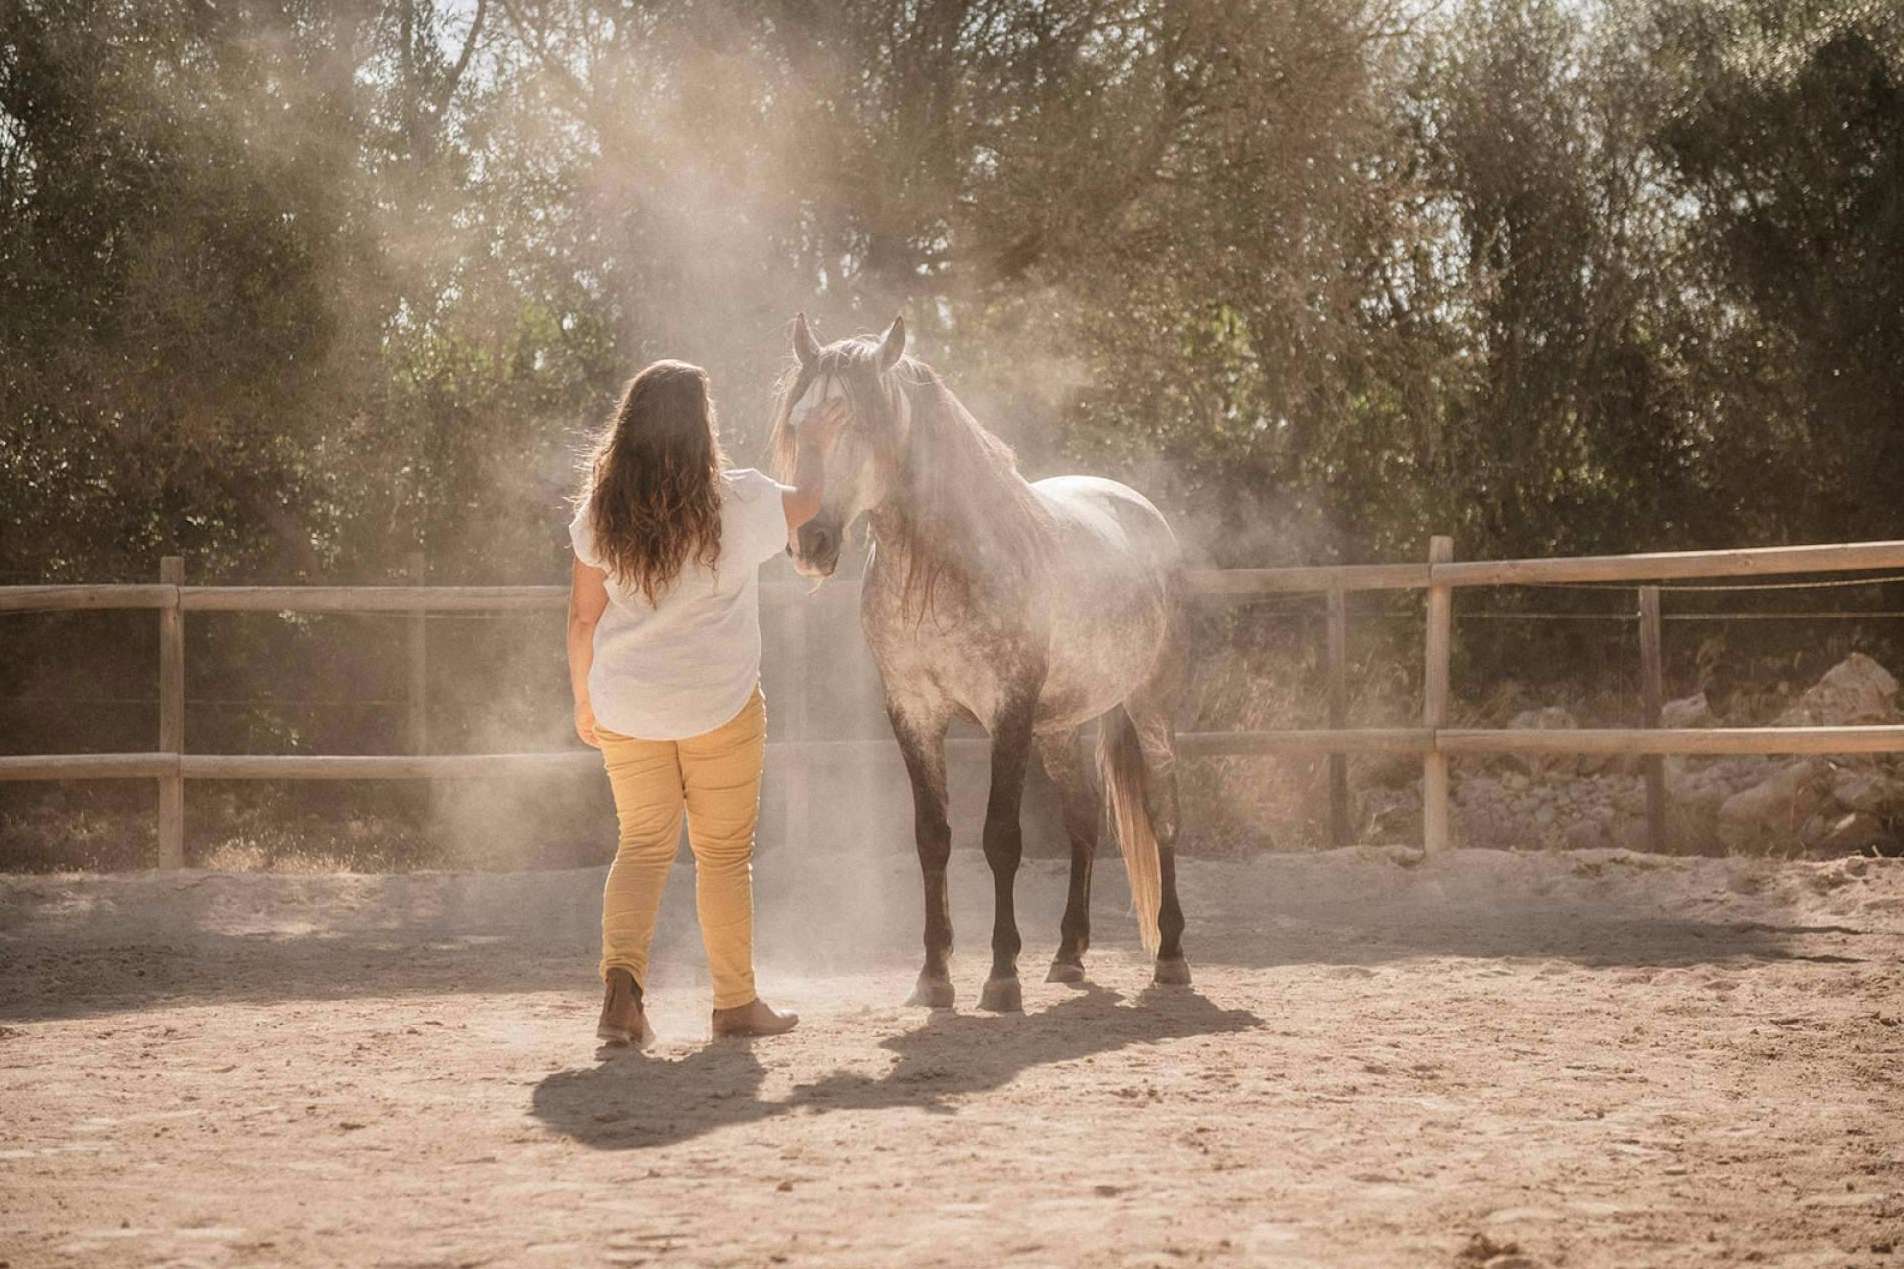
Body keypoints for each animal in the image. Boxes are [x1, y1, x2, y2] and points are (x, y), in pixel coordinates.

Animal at [770, 313, 1190, 1012]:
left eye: (855, 421)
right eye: (797, 424)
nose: (810, 542)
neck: (939, 572)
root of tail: (1141, 511)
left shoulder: (1008, 715)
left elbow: (1000, 838)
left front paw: (1000, 975)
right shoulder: (913, 714)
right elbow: (932, 838)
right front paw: (934, 977)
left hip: (1149, 704)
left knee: (1161, 816)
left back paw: (1172, 957)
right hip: (1061, 728)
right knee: (1083, 821)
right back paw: (1068, 956)